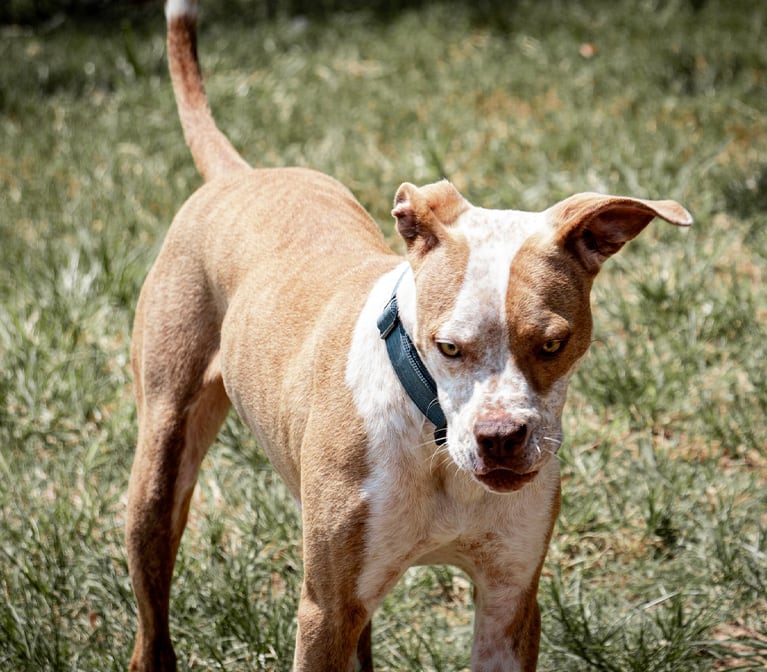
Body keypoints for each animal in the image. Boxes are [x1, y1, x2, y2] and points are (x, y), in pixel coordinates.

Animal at [124, 2, 688, 668]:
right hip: (162, 465)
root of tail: (239, 176)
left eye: (553, 344)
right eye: (448, 348)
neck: (434, 436)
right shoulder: (325, 610)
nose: (501, 439)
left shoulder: (509, 602)